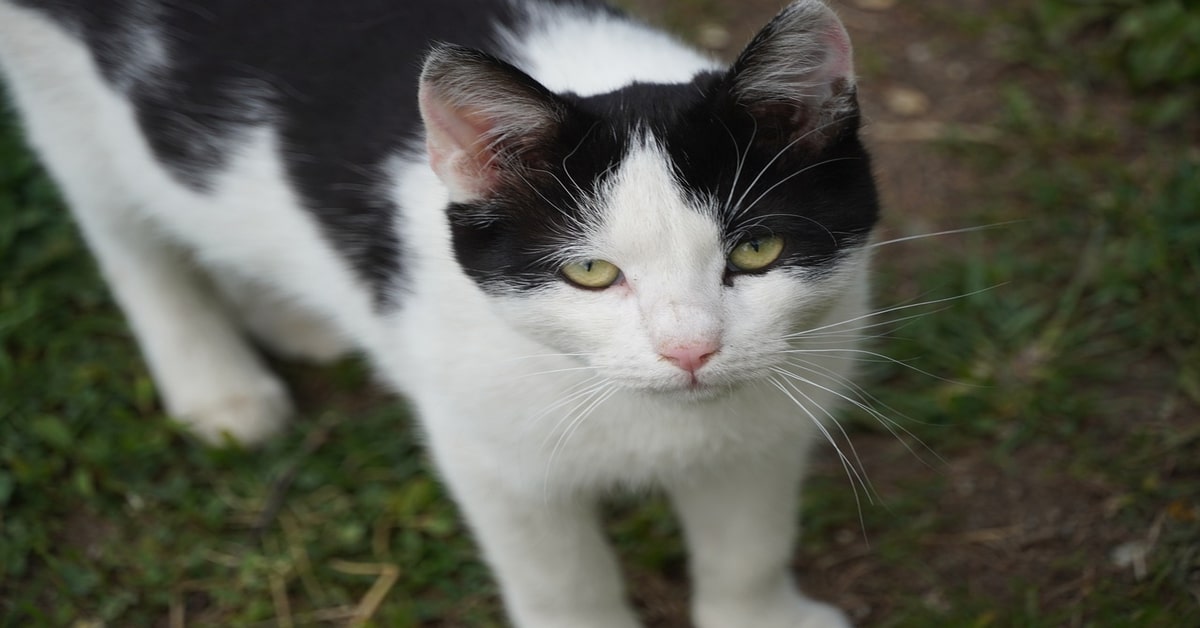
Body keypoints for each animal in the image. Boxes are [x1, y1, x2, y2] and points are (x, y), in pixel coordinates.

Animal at [0, 0, 883, 624]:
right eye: (592, 272)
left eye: (757, 250)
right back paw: (217, 384)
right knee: (125, 232)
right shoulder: (490, 453)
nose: (690, 350)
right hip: (61, 94)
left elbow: (749, 545)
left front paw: (761, 614)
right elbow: (561, 581)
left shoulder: (768, 425)